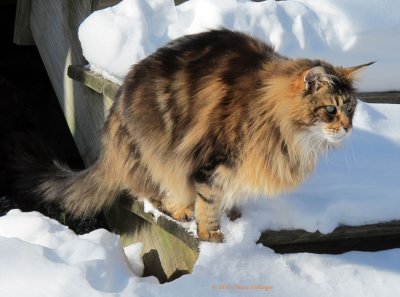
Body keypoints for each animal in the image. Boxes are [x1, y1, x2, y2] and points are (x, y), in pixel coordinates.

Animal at [27, 28, 372, 240]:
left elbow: (229, 197)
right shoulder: (213, 160)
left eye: (351, 108)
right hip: (154, 151)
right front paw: (213, 236)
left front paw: (236, 220)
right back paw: (179, 209)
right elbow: (208, 202)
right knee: (151, 190)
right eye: (331, 110)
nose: (348, 128)